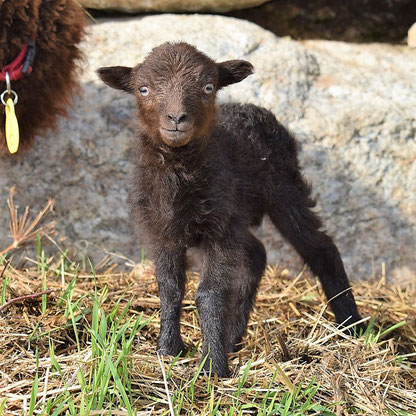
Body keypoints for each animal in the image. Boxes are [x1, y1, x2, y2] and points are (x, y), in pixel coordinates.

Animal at [97, 41, 364, 376]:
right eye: (143, 89)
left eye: (208, 87)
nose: (176, 118)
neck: (180, 171)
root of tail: (255, 108)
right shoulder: (162, 229)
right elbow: (170, 287)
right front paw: (168, 349)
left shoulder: (219, 232)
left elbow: (209, 294)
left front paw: (212, 365)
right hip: (239, 214)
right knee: (257, 253)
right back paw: (233, 337)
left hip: (284, 191)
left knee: (321, 247)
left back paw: (352, 326)